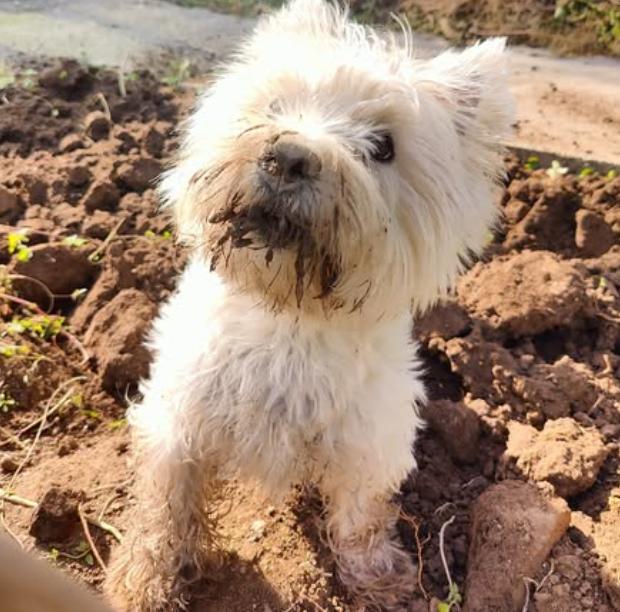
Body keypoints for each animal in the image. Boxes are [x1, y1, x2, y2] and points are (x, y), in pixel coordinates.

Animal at [105, 2, 512, 608]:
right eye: (277, 106)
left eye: (384, 146)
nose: (290, 157)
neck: (288, 322)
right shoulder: (176, 419)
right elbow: (164, 506)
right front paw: (144, 581)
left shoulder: (371, 442)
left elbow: (360, 517)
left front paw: (380, 580)